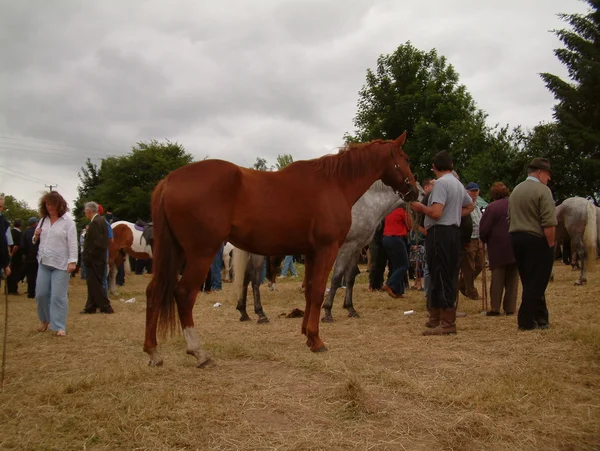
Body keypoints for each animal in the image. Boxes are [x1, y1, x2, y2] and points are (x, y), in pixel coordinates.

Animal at [322, 180, 424, 322]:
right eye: (423, 193)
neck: (365, 204)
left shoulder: (356, 247)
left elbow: (350, 278)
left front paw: (350, 308)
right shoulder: (346, 247)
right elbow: (336, 278)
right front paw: (327, 311)